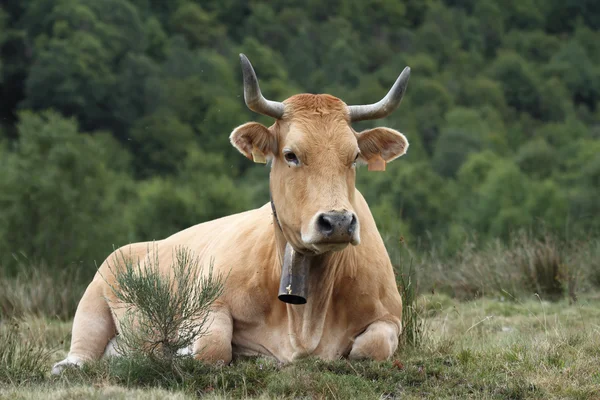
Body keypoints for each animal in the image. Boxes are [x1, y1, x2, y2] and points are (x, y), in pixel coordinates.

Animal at [51, 54, 410, 376]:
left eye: (353, 156)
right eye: (290, 155)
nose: (337, 222)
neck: (307, 320)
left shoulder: (390, 319)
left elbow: (372, 346)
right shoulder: (208, 305)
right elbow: (214, 347)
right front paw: (180, 352)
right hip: (92, 301)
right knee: (82, 353)